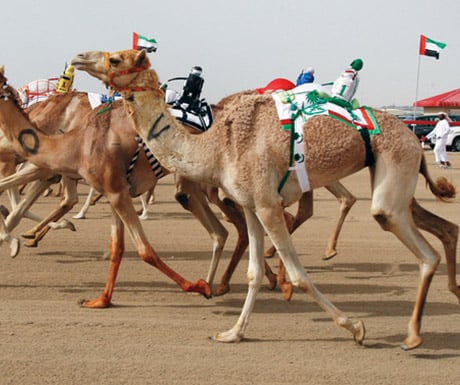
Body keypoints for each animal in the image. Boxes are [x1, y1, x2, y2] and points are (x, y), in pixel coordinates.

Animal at [72, 47, 460, 348]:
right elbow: (253, 272)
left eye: (115, 58)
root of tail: (411, 134)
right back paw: (444, 300)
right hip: (397, 178)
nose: (78, 57)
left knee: (420, 249)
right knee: (438, 228)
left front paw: (355, 327)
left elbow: (299, 274)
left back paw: (413, 335)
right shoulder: (249, 204)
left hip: (394, 170)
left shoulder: (266, 204)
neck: (215, 145)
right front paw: (233, 332)